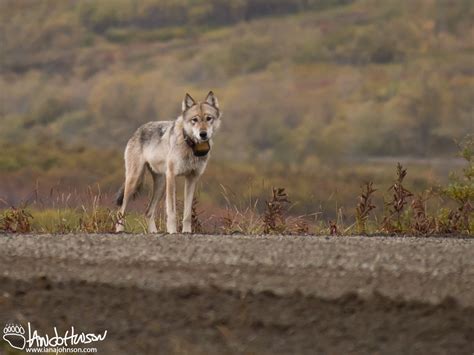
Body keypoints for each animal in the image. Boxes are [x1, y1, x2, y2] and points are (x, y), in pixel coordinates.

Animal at [116, 92, 222, 234]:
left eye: (209, 118)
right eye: (194, 120)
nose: (203, 134)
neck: (190, 145)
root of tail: (138, 129)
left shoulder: (192, 179)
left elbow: (187, 214)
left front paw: (187, 232)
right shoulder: (172, 176)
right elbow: (171, 211)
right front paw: (172, 232)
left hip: (160, 185)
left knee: (148, 212)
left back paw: (154, 232)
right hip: (134, 180)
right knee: (121, 210)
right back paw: (120, 230)